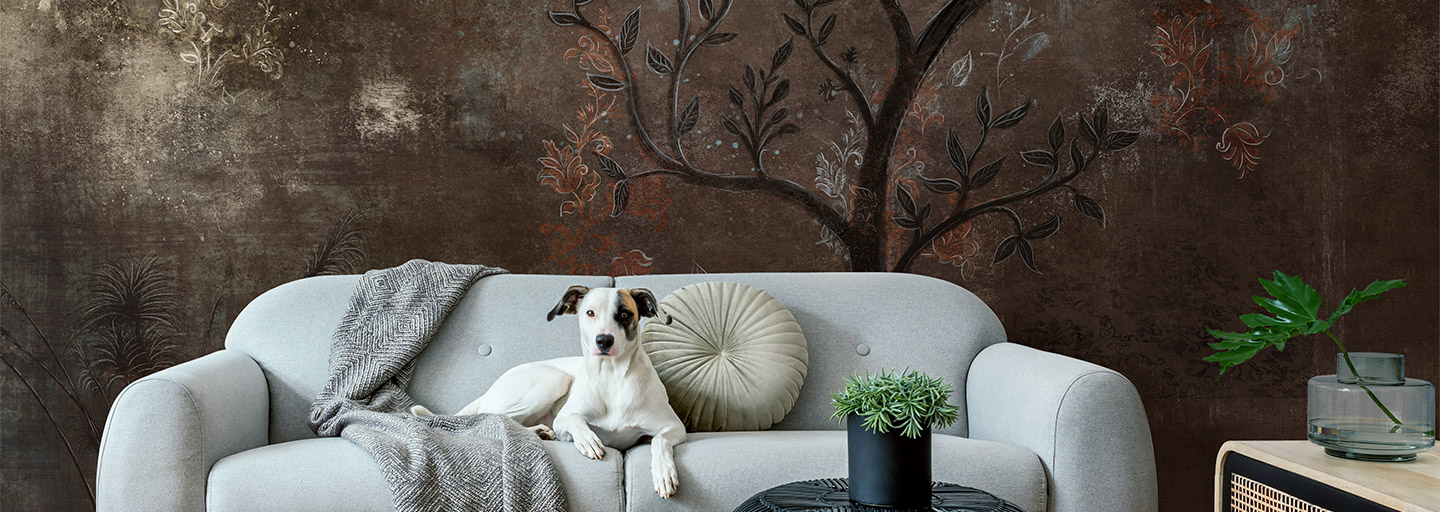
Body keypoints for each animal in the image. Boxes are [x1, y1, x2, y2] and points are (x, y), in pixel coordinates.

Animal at [410, 286, 687, 498]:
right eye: (590, 312)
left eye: (624, 314)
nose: (603, 340)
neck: (611, 378)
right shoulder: (564, 422)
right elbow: (574, 420)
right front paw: (588, 440)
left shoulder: (674, 427)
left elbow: (659, 441)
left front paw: (664, 473)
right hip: (554, 379)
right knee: (495, 418)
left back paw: (539, 432)